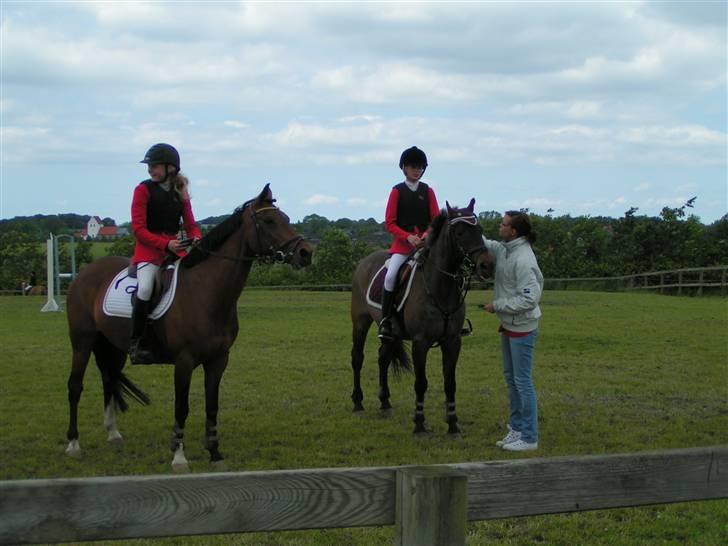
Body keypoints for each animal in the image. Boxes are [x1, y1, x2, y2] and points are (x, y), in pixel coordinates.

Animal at [64, 185, 310, 470]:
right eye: (269, 221)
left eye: (286, 218)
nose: (306, 253)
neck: (206, 293)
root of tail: (84, 273)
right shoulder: (184, 361)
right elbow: (181, 407)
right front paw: (179, 457)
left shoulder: (218, 360)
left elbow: (212, 405)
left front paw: (215, 453)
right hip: (82, 342)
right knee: (75, 386)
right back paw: (73, 444)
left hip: (112, 345)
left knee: (108, 379)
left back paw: (113, 434)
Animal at [348, 200, 486, 434]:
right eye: (459, 232)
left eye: (480, 230)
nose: (486, 263)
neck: (440, 288)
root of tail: (364, 261)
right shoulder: (420, 342)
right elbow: (421, 383)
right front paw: (420, 424)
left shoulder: (453, 341)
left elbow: (450, 383)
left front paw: (453, 424)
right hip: (360, 322)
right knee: (357, 358)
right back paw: (358, 403)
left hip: (390, 333)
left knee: (383, 358)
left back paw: (385, 403)